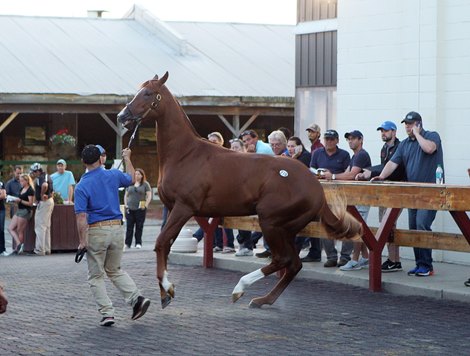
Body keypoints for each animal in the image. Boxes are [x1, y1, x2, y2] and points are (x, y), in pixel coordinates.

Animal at [116, 72, 360, 308]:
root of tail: (316, 188)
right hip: (287, 228)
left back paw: (240, 289)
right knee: (293, 264)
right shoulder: (174, 209)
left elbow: (160, 243)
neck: (186, 154)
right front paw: (164, 294)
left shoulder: (184, 208)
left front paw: (167, 289)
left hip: (271, 222)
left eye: (148, 93)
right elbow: (164, 246)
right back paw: (263, 300)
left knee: (282, 259)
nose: (122, 116)